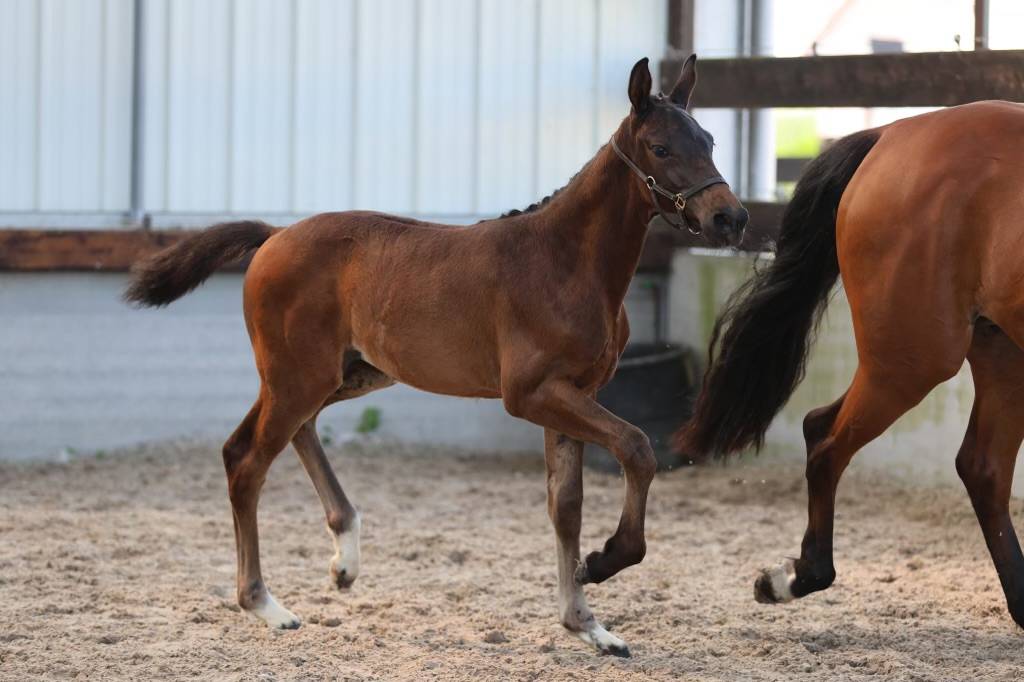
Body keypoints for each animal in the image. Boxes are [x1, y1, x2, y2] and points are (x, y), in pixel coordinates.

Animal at [124, 55, 747, 656]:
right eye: (661, 148)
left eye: (711, 141)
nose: (731, 218)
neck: (566, 261)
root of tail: (275, 236)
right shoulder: (532, 395)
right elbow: (637, 448)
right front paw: (604, 560)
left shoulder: (573, 393)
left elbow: (565, 505)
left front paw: (588, 625)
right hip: (299, 375)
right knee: (248, 461)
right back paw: (266, 604)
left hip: (343, 374)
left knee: (284, 434)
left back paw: (345, 555)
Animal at [677, 100, 1024, 628]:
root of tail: (894, 132)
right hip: (911, 358)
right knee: (824, 439)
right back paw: (797, 577)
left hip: (1000, 348)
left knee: (984, 468)